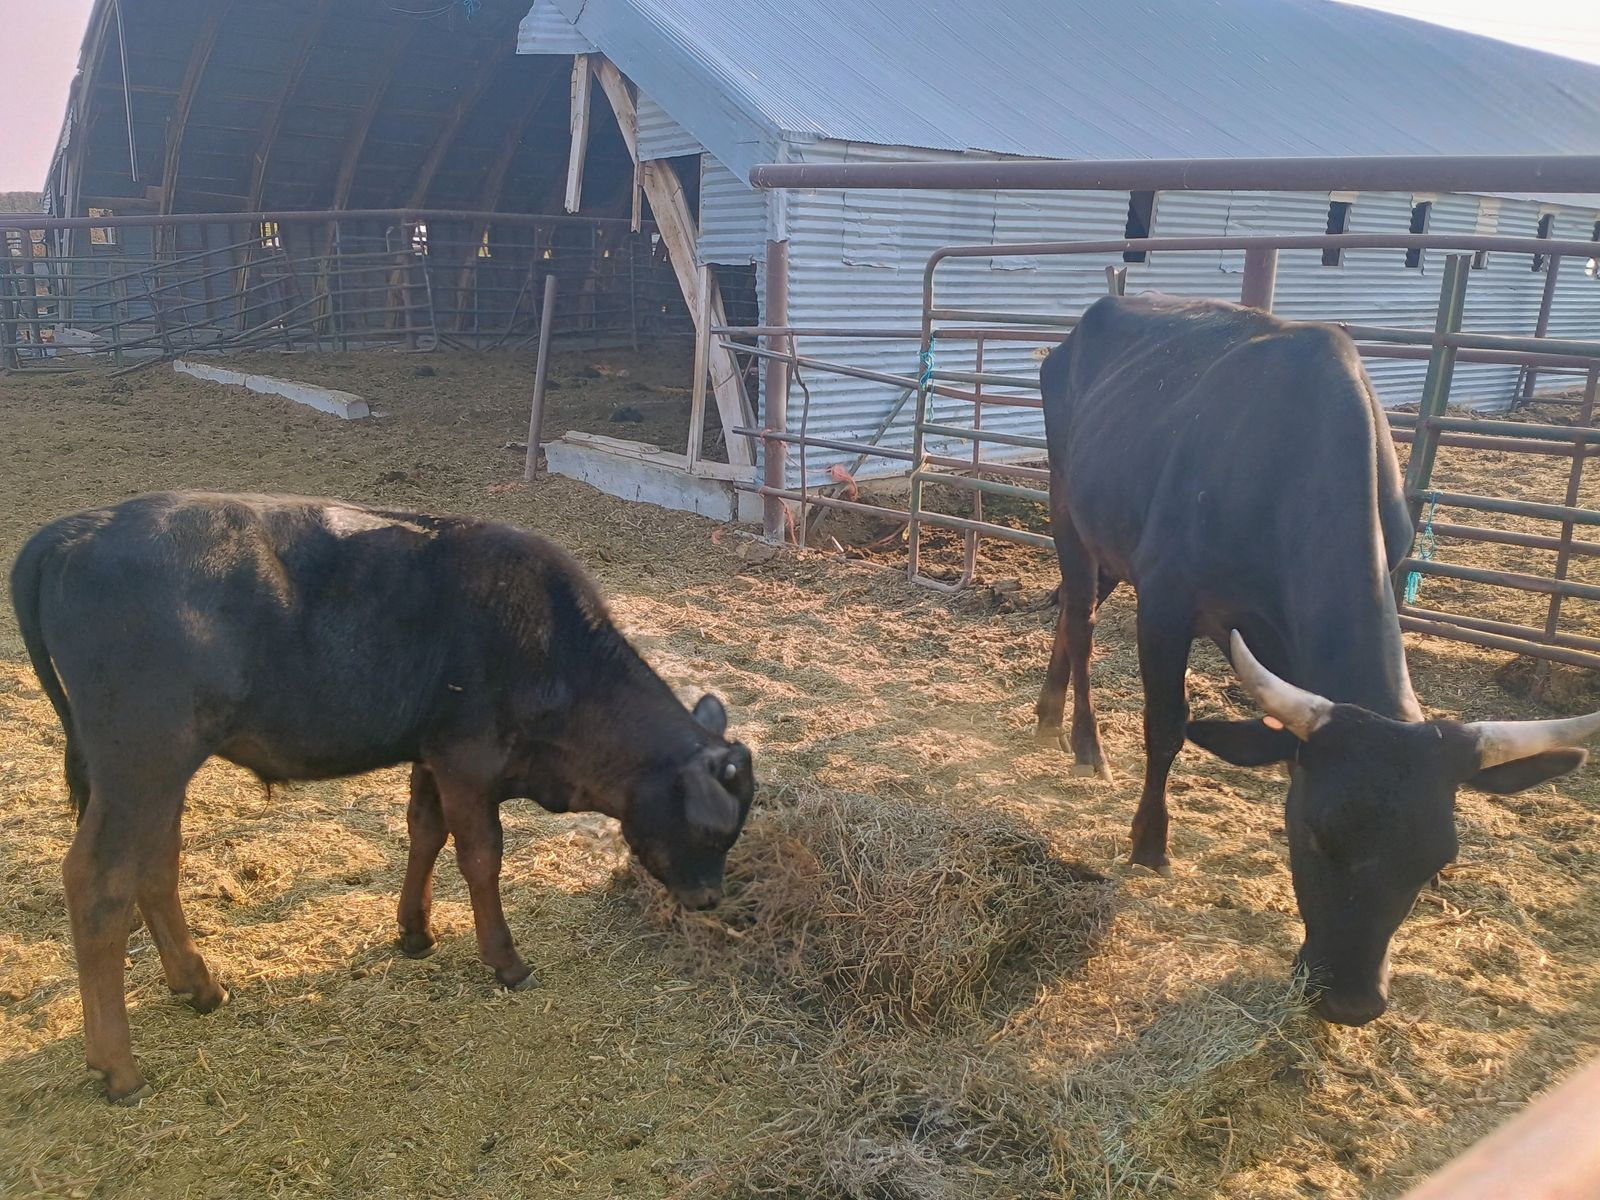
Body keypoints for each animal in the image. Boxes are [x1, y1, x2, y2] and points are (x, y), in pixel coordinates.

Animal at [10, 492, 757, 1103]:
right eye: (714, 832)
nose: (709, 899)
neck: (553, 653)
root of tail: (79, 526)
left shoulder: (431, 754)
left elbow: (425, 832)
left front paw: (415, 931)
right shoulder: (469, 758)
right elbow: (481, 857)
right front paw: (505, 961)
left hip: (158, 775)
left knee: (155, 866)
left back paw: (199, 987)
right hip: (140, 763)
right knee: (100, 882)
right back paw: (118, 1068)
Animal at [1033, 293, 1600, 1026]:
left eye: (1434, 858)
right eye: (1313, 834)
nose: (1352, 1001)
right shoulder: (1165, 597)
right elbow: (1166, 725)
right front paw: (1150, 843)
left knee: (1074, 617)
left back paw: (1048, 714)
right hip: (1067, 509)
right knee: (1080, 617)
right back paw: (1081, 739)